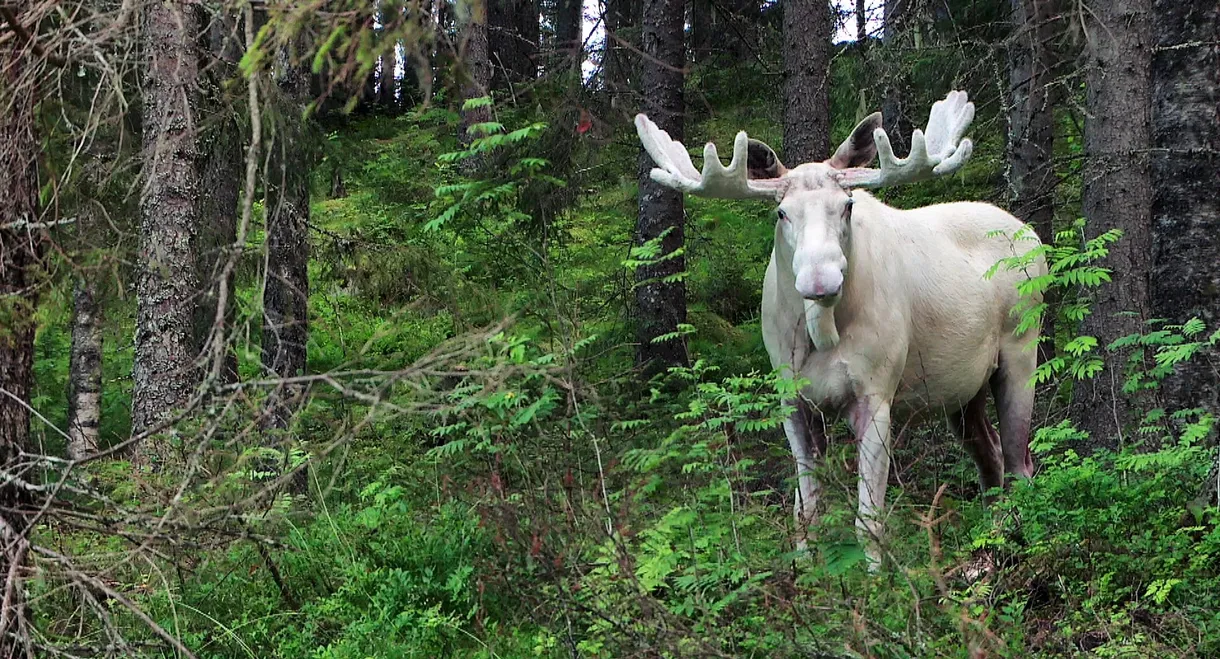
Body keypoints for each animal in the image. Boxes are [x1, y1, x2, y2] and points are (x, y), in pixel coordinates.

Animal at [634, 90, 1044, 563]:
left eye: (848, 205)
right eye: (781, 213)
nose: (821, 280)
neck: (819, 334)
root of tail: (1033, 235)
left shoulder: (877, 394)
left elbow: (868, 521)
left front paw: (875, 579)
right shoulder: (792, 400)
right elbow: (805, 512)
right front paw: (805, 569)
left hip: (1022, 350)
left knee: (1020, 462)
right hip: (962, 390)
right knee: (990, 457)